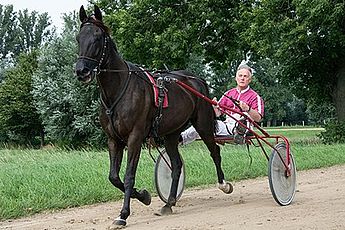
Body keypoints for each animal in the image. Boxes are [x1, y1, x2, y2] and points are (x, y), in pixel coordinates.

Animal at [74, 4, 231, 228]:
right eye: (79, 38)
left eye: (97, 37)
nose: (82, 71)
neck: (118, 91)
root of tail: (196, 79)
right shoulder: (113, 139)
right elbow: (114, 177)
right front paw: (144, 195)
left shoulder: (135, 137)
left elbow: (128, 176)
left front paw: (123, 214)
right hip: (171, 133)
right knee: (176, 165)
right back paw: (169, 203)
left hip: (202, 123)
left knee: (215, 151)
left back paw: (223, 184)